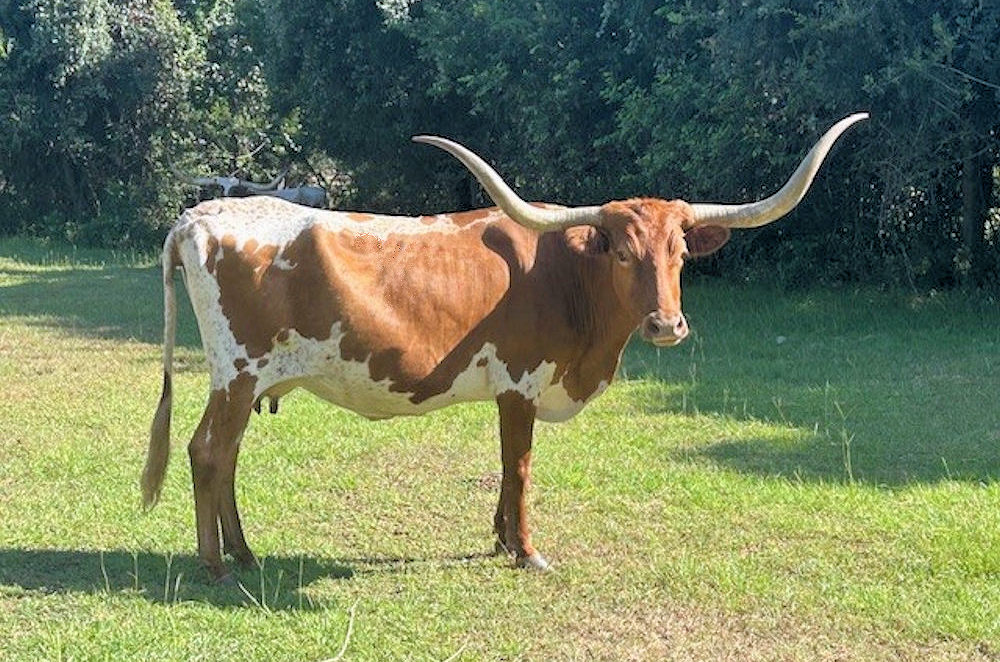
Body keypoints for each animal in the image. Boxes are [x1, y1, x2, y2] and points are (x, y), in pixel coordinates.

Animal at [142, 113, 868, 580]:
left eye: (680, 254)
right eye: (622, 251)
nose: (667, 325)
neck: (569, 279)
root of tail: (198, 216)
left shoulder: (507, 392)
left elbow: (505, 467)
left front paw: (498, 541)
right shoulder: (521, 384)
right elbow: (519, 467)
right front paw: (526, 552)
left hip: (245, 381)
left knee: (226, 457)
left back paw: (243, 553)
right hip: (236, 373)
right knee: (208, 452)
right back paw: (216, 564)